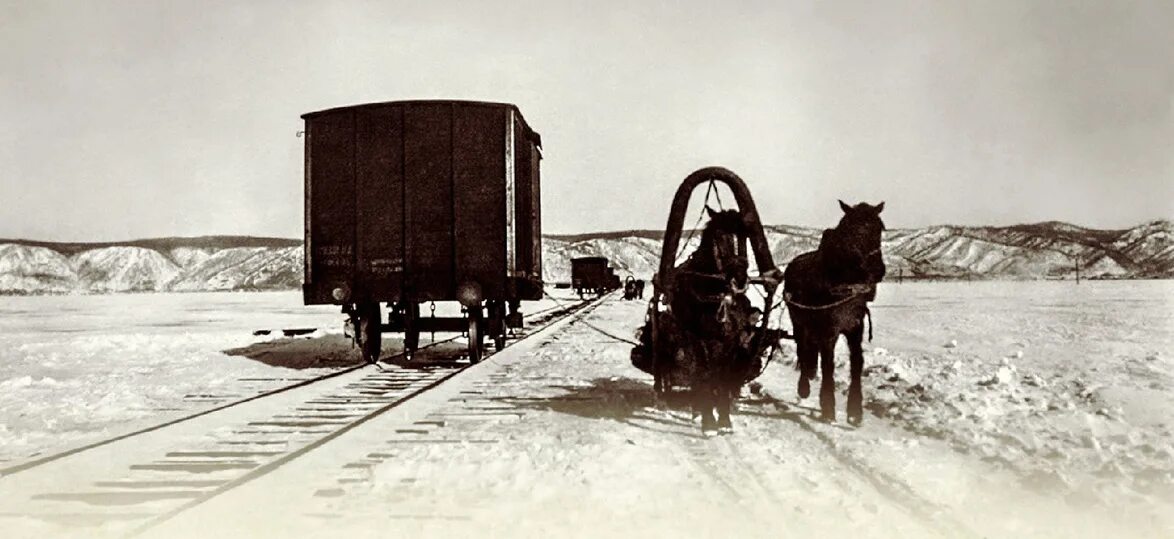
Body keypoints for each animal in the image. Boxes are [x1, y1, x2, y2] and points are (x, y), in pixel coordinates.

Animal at [666, 206, 756, 434]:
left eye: (744, 237)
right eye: (720, 236)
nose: (740, 278)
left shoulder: (731, 341)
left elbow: (723, 376)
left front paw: (724, 419)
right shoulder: (700, 339)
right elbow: (705, 374)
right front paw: (708, 420)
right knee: (699, 370)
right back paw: (698, 409)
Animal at [784, 200, 882, 425]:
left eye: (880, 228)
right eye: (852, 230)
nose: (879, 270)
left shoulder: (855, 327)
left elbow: (857, 363)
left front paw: (855, 410)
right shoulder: (829, 329)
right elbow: (828, 364)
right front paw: (828, 406)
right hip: (799, 321)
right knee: (802, 348)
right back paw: (804, 386)